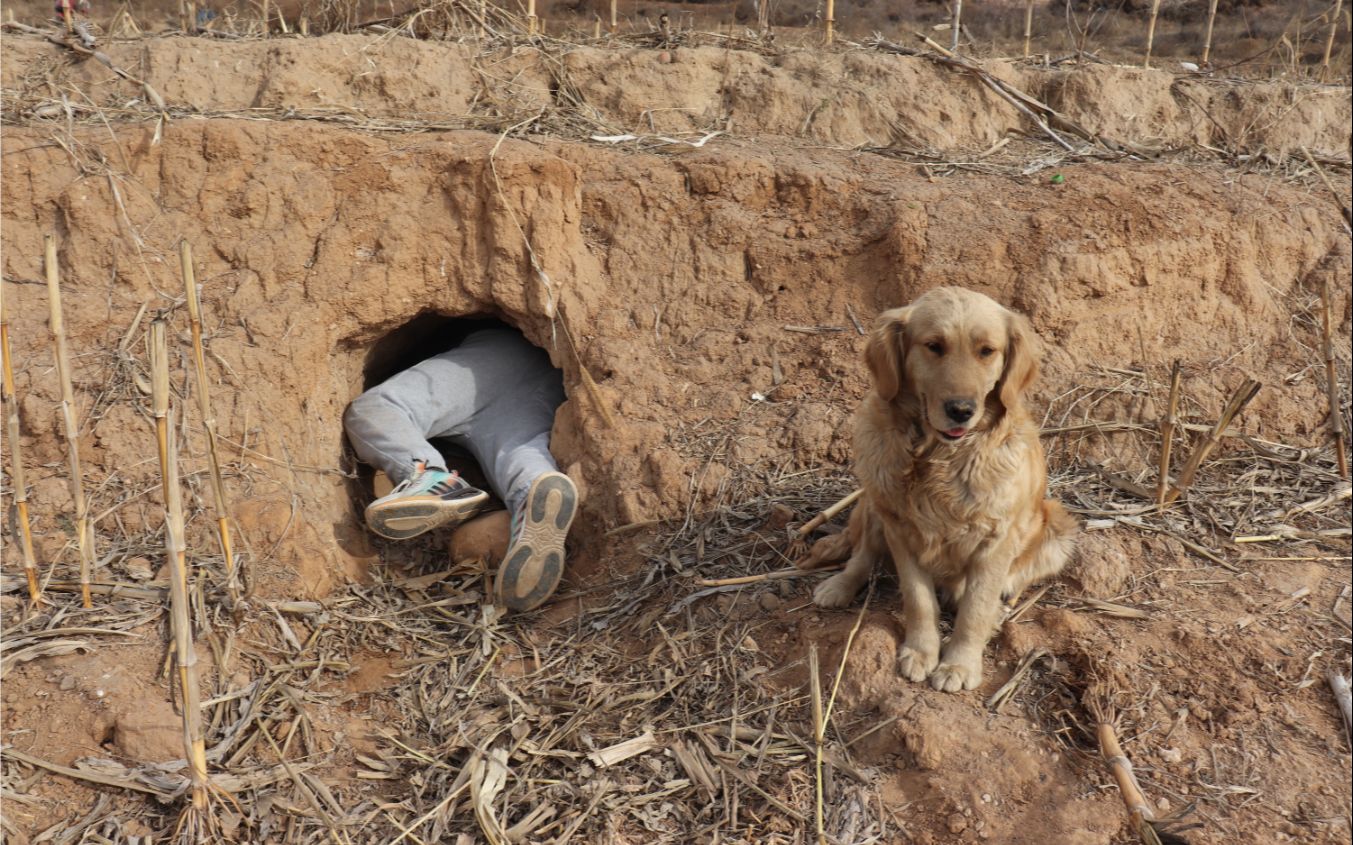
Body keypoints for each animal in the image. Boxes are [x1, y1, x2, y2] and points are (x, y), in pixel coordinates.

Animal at [800, 286, 1076, 689]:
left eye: (986, 351)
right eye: (933, 346)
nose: (961, 409)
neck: (940, 458)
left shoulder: (995, 542)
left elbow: (975, 608)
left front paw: (959, 665)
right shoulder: (901, 530)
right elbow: (918, 599)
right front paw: (921, 652)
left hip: (1058, 529)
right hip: (873, 502)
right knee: (862, 554)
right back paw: (838, 586)